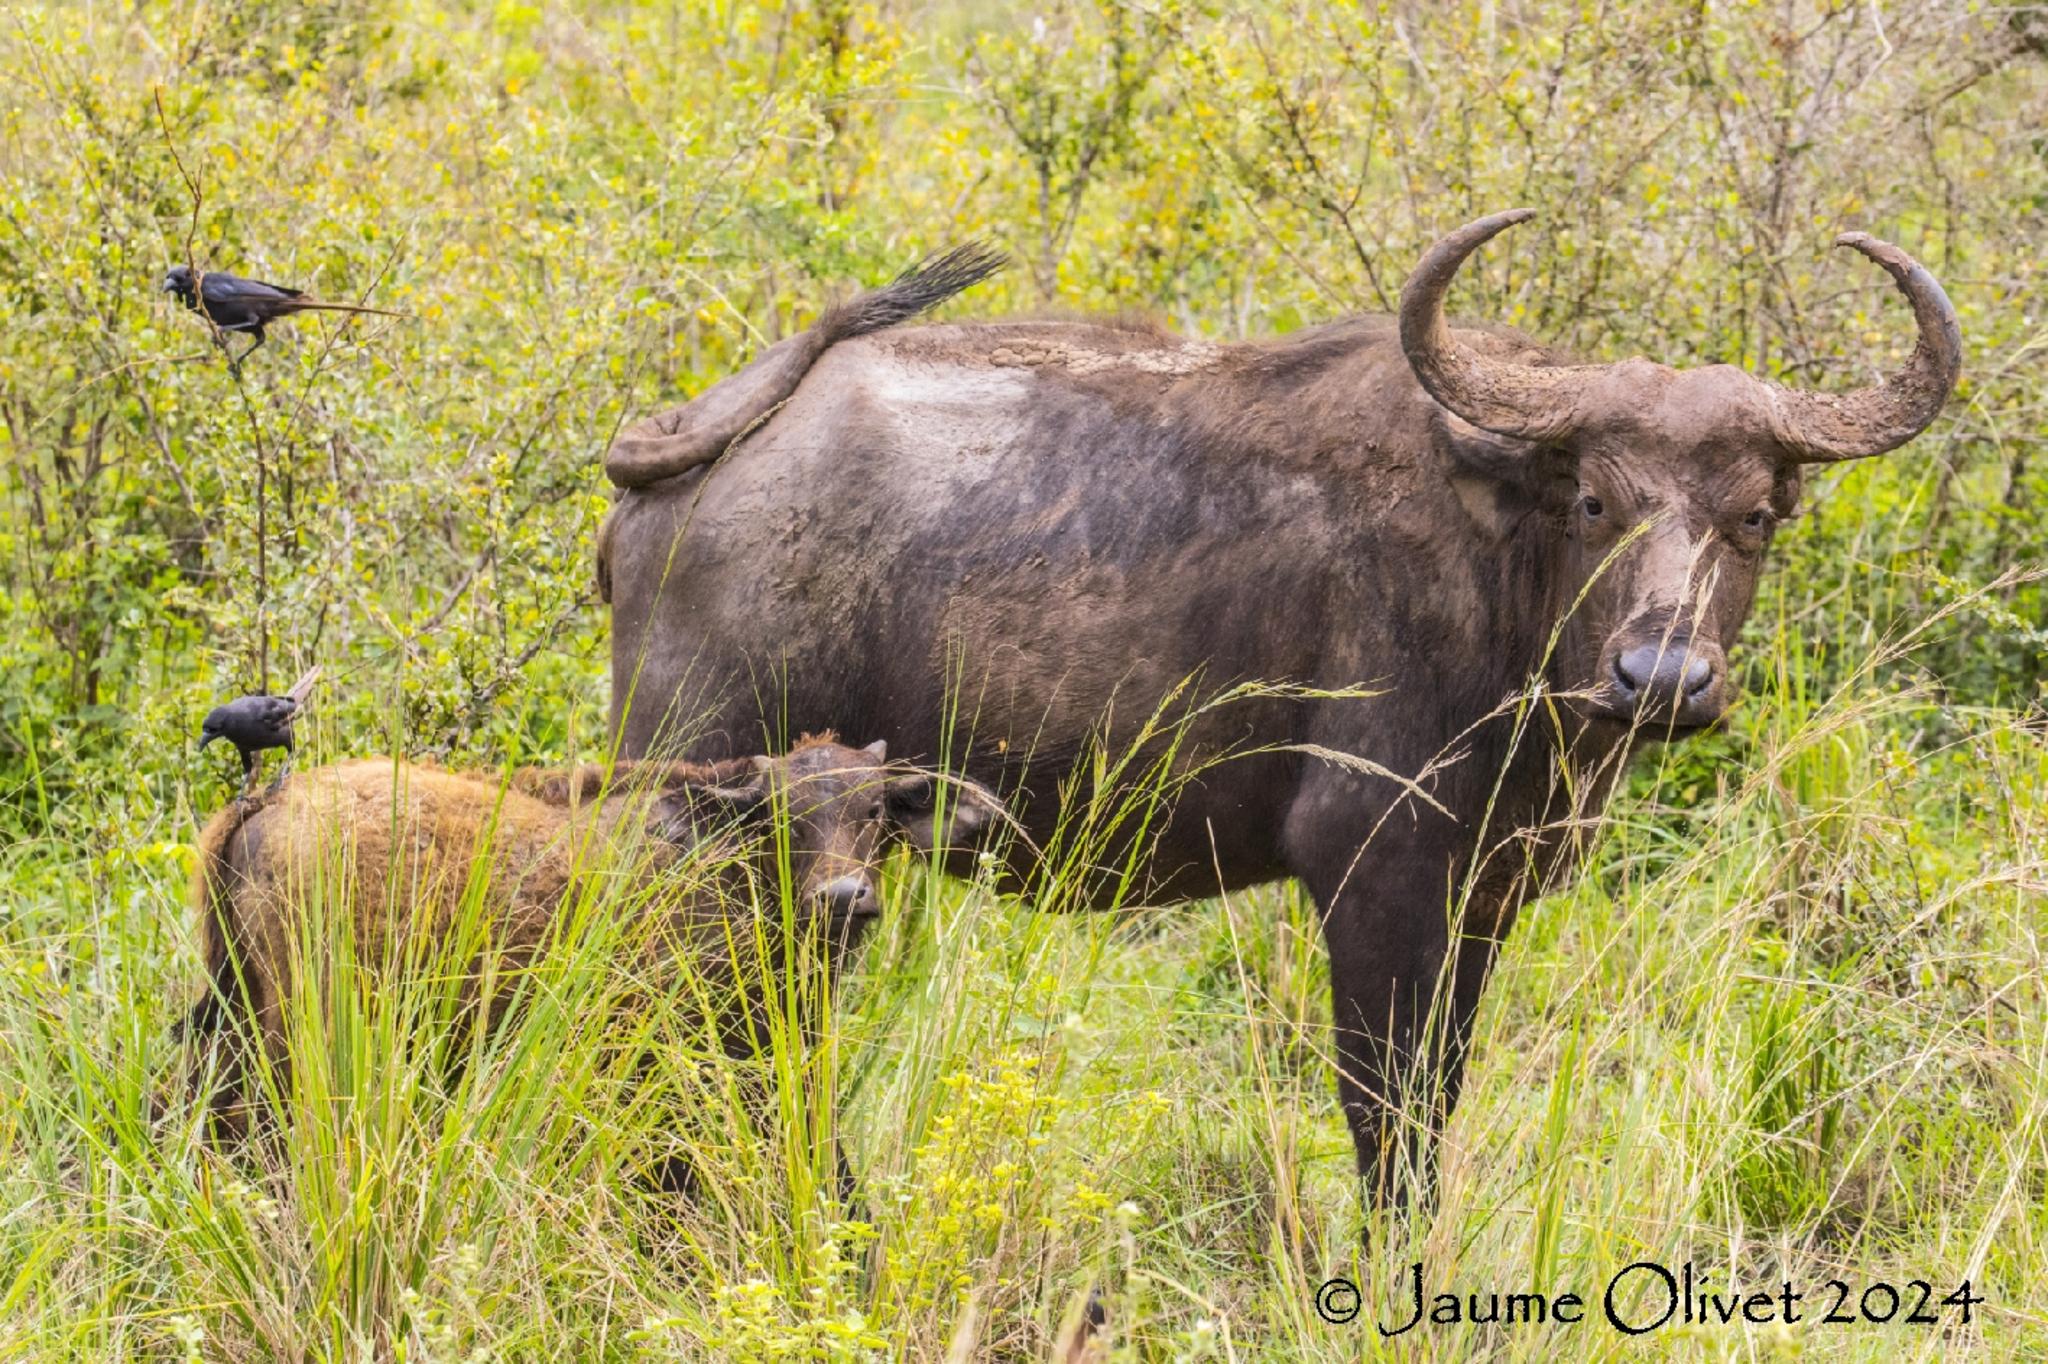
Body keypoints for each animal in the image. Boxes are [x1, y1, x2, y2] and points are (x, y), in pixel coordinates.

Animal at [598, 206, 1966, 1196]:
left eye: (1754, 515)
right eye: (1594, 499)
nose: (1660, 679)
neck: (1499, 568)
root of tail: (690, 450)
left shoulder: (1480, 901)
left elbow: (1438, 1095)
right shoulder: (1372, 875)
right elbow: (1387, 1117)